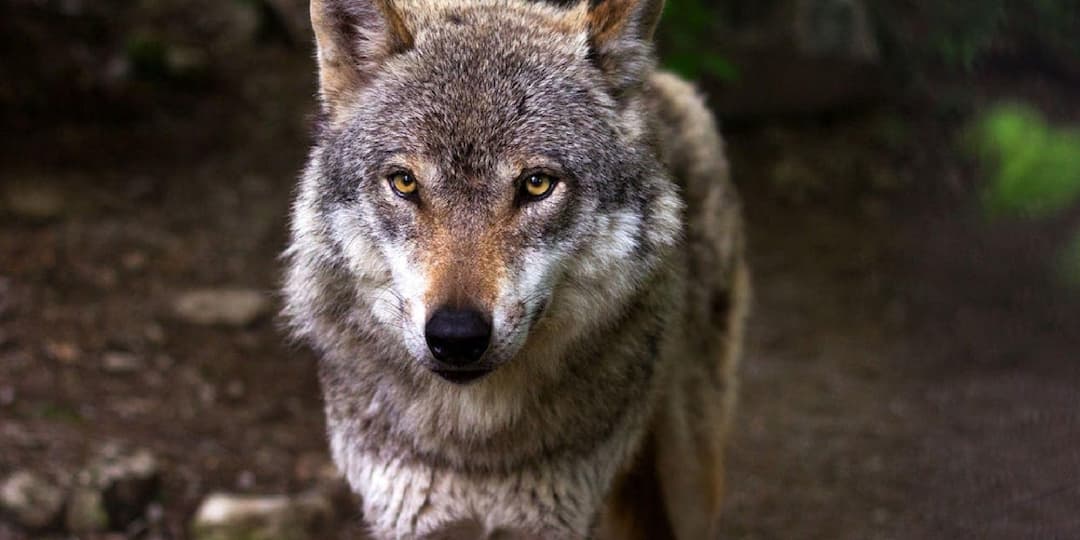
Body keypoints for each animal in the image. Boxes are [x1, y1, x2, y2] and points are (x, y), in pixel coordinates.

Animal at [282, 0, 748, 537]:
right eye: (404, 182)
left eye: (537, 184)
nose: (456, 336)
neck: (477, 448)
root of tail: (664, 82)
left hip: (690, 475)